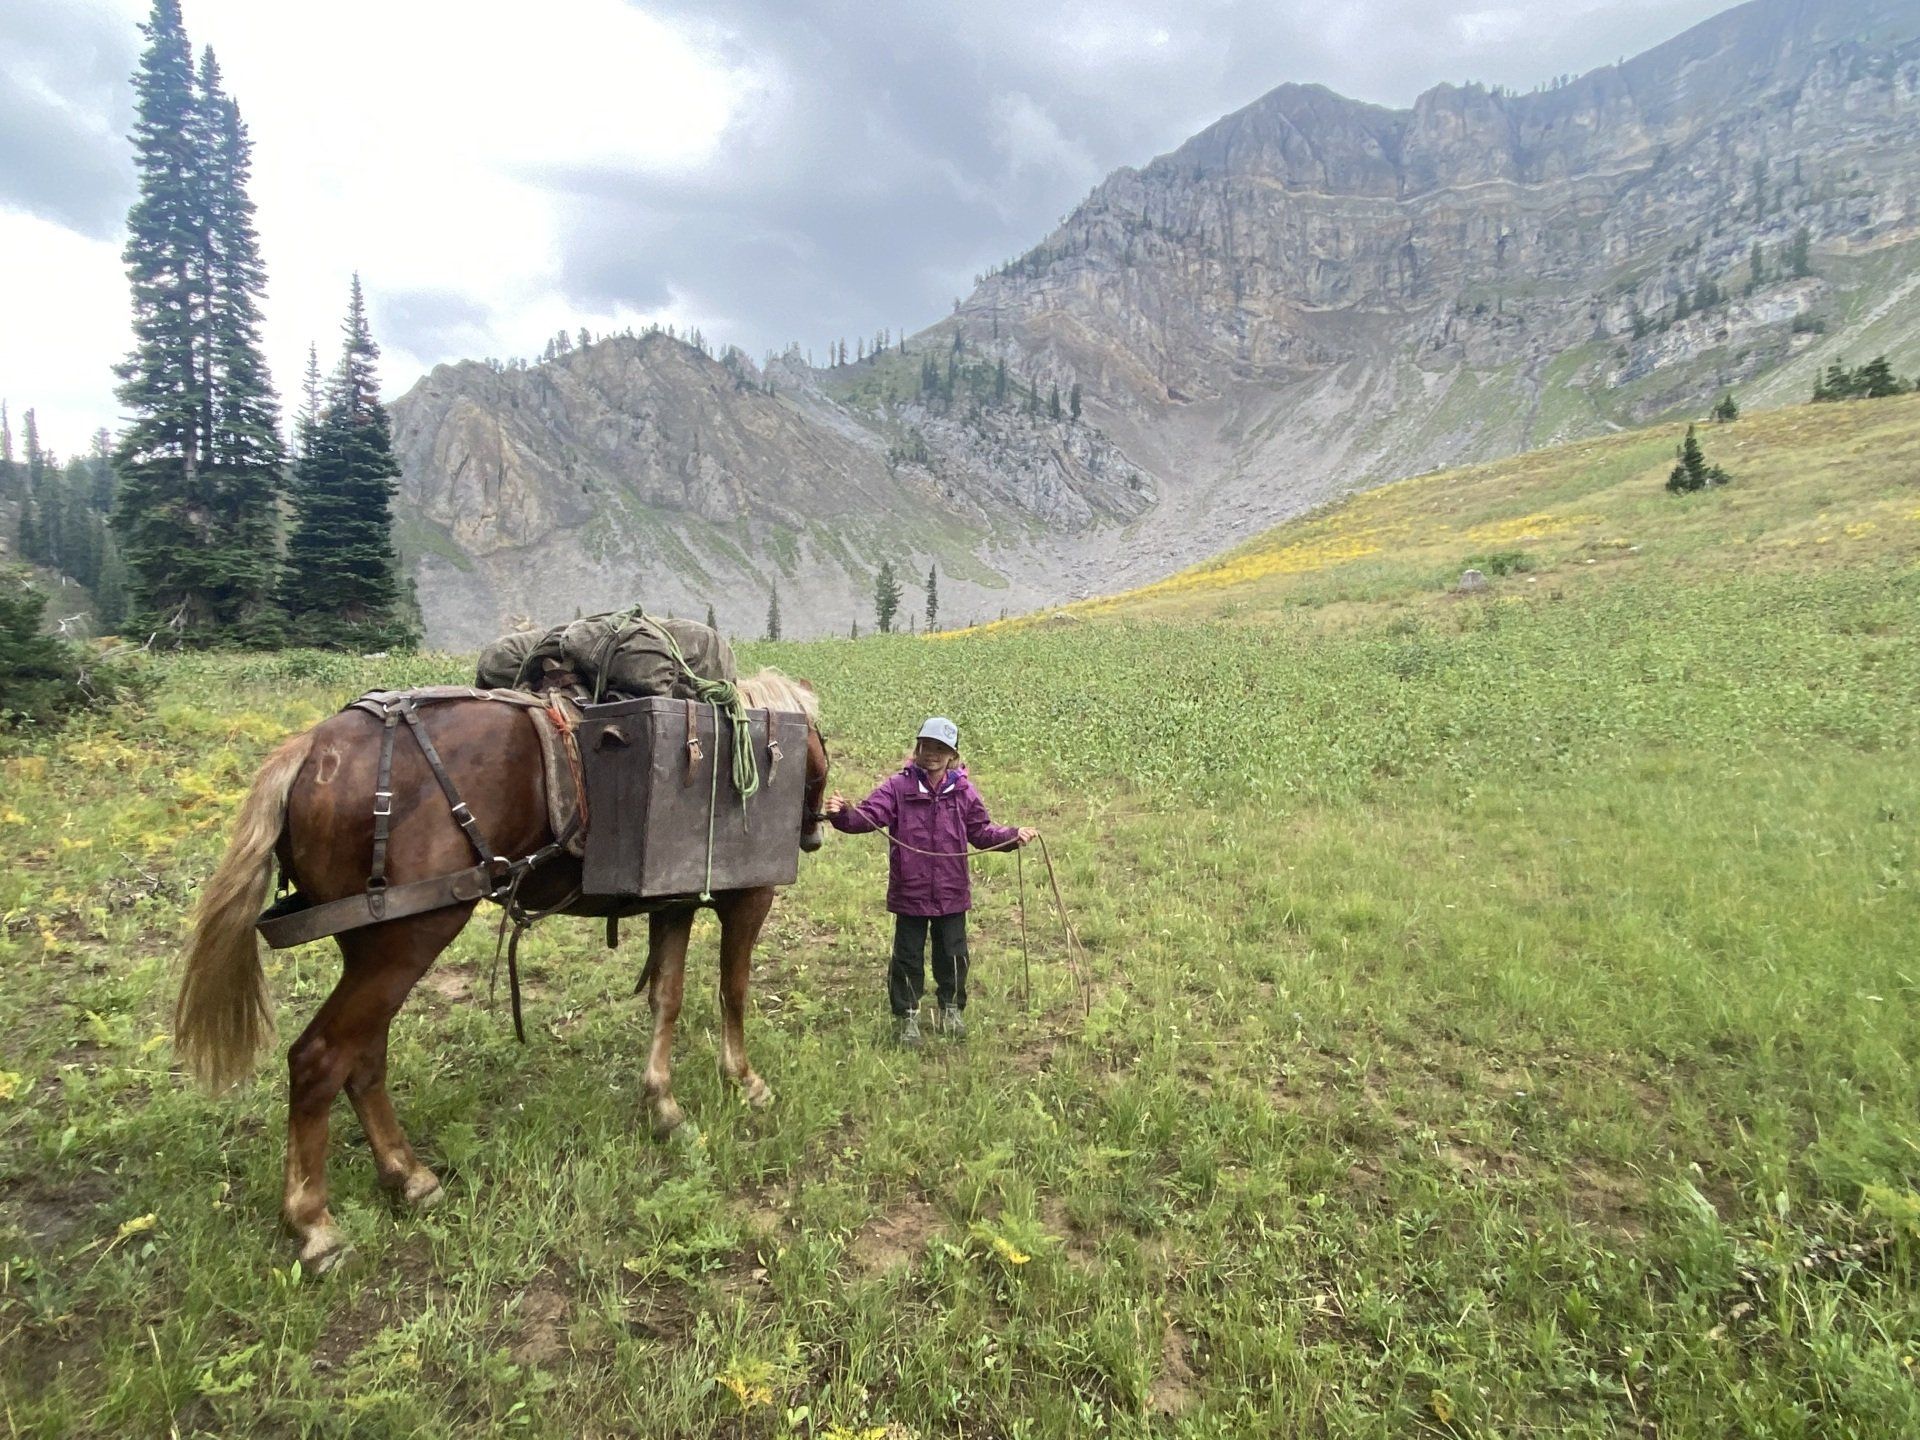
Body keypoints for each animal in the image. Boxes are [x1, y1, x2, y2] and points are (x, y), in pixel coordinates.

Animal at [173, 669, 828, 1270]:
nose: (816, 831)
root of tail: (312, 750)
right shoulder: (750, 897)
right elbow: (732, 991)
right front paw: (745, 1080)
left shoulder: (673, 903)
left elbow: (665, 998)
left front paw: (663, 1105)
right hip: (409, 940)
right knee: (320, 1059)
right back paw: (315, 1224)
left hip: (375, 948)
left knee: (364, 1059)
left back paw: (407, 1176)